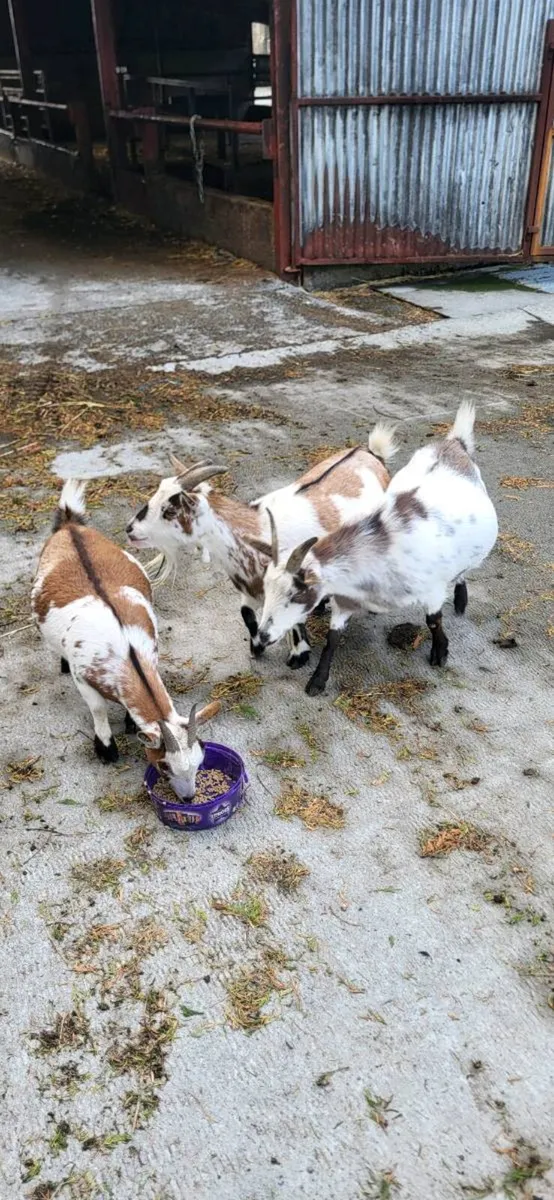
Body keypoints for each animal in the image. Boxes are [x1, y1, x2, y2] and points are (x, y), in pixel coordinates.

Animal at [32, 480, 218, 796]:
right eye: (164, 766)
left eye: (200, 758)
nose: (188, 798)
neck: (125, 651)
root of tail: (70, 525)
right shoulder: (84, 679)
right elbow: (98, 710)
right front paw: (106, 749)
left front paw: (131, 724)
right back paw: (62, 663)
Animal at [126, 426, 397, 669]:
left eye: (169, 510)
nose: (129, 529)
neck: (257, 534)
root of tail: (371, 454)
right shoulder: (250, 592)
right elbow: (247, 615)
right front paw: (256, 647)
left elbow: (295, 621)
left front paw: (298, 655)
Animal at [256, 403, 498, 695]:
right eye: (266, 590)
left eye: (296, 594)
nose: (262, 636)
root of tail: (454, 444)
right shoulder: (345, 600)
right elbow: (332, 638)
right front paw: (317, 681)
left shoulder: (431, 590)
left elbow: (433, 620)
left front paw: (440, 652)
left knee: (464, 571)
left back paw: (461, 600)